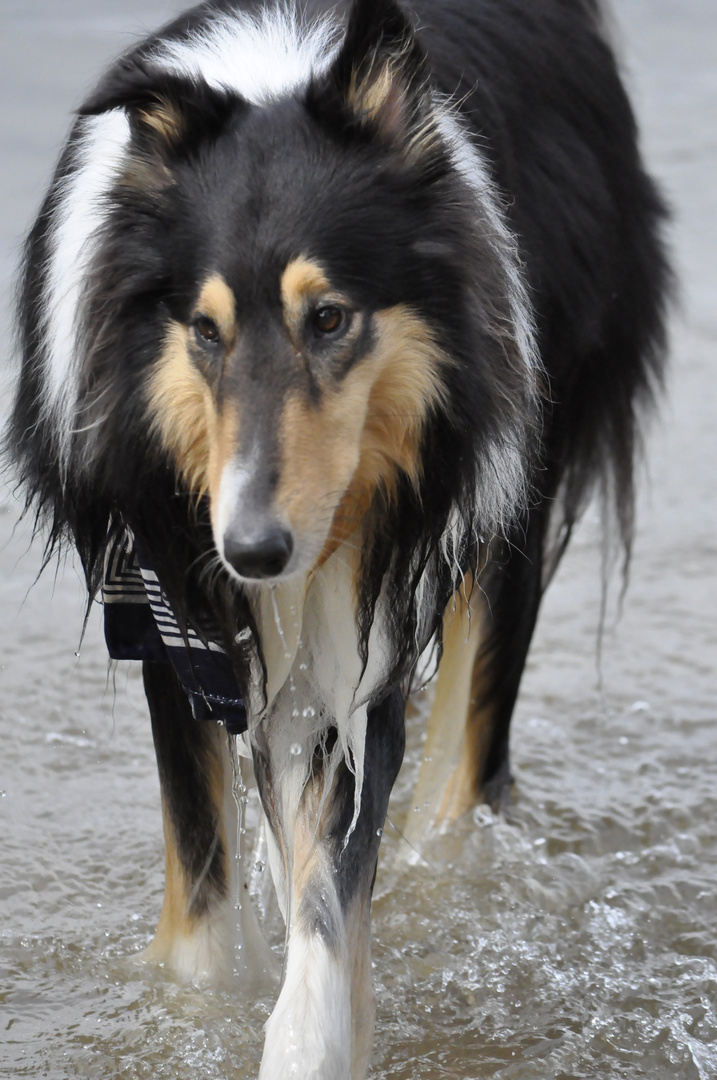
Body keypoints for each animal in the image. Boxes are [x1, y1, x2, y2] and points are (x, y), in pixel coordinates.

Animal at [5, 0, 669, 1075]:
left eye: (328, 319)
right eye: (203, 330)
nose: (252, 550)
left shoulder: (365, 640)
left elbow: (328, 908)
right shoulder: (171, 615)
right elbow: (205, 914)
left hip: (512, 502)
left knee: (459, 779)